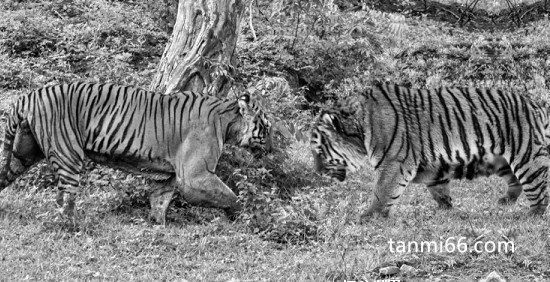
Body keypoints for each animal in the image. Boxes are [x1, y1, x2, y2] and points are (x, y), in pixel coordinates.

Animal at [0, 82, 274, 224]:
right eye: (267, 125)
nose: (271, 147)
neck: (227, 122)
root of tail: (27, 96)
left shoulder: (170, 177)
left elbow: (160, 200)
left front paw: (158, 225)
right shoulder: (195, 177)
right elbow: (231, 196)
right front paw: (247, 217)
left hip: (22, 154)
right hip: (68, 154)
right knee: (65, 198)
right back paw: (73, 225)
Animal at [312, 82, 548, 221]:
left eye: (319, 151)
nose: (317, 172)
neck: (360, 129)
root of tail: (535, 105)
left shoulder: (394, 162)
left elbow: (382, 191)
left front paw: (369, 216)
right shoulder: (433, 165)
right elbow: (439, 189)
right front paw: (447, 209)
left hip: (525, 154)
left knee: (538, 185)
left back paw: (533, 214)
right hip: (501, 160)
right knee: (516, 181)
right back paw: (505, 200)